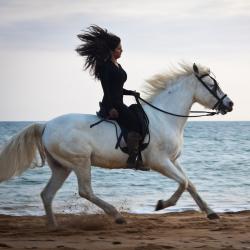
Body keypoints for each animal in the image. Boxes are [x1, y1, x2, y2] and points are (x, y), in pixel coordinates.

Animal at [0, 63, 234, 229]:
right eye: (213, 85)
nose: (230, 104)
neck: (164, 118)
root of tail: (46, 125)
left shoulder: (173, 160)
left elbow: (190, 184)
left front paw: (211, 213)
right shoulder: (160, 162)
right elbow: (183, 183)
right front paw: (161, 204)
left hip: (62, 167)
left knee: (47, 194)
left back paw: (54, 226)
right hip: (80, 161)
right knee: (85, 191)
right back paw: (117, 215)